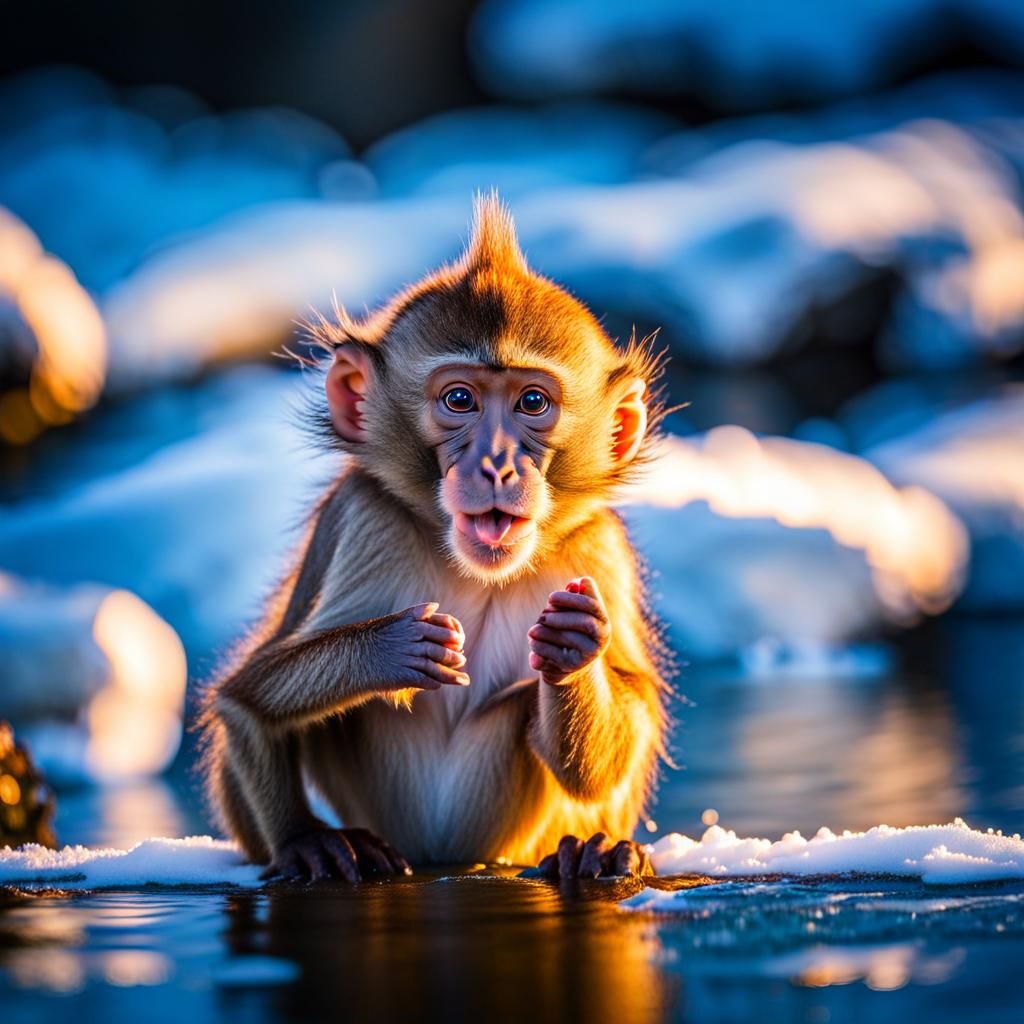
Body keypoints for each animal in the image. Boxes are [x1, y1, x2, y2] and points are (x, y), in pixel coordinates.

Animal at [200, 195, 671, 883]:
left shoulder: (599, 548)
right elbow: (247, 703)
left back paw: (593, 847)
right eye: (459, 399)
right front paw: (385, 652)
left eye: (532, 402)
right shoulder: (362, 518)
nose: (497, 464)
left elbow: (630, 715)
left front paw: (573, 649)